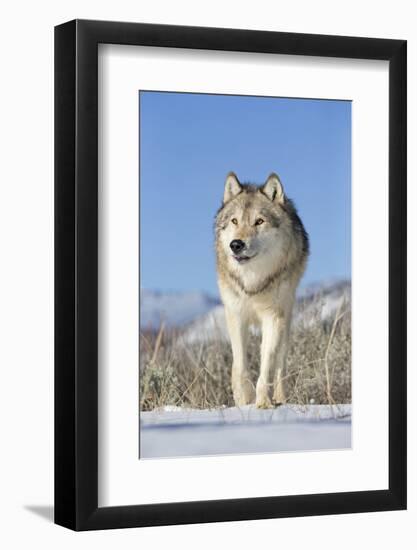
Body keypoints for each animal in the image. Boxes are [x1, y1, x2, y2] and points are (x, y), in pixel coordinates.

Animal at [216, 174, 308, 410]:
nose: (236, 244)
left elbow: (267, 364)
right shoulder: (235, 314)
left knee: (280, 365)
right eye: (234, 221)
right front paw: (243, 399)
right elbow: (240, 365)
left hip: (286, 319)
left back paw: (280, 398)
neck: (252, 281)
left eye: (259, 221)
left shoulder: (273, 317)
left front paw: (263, 402)